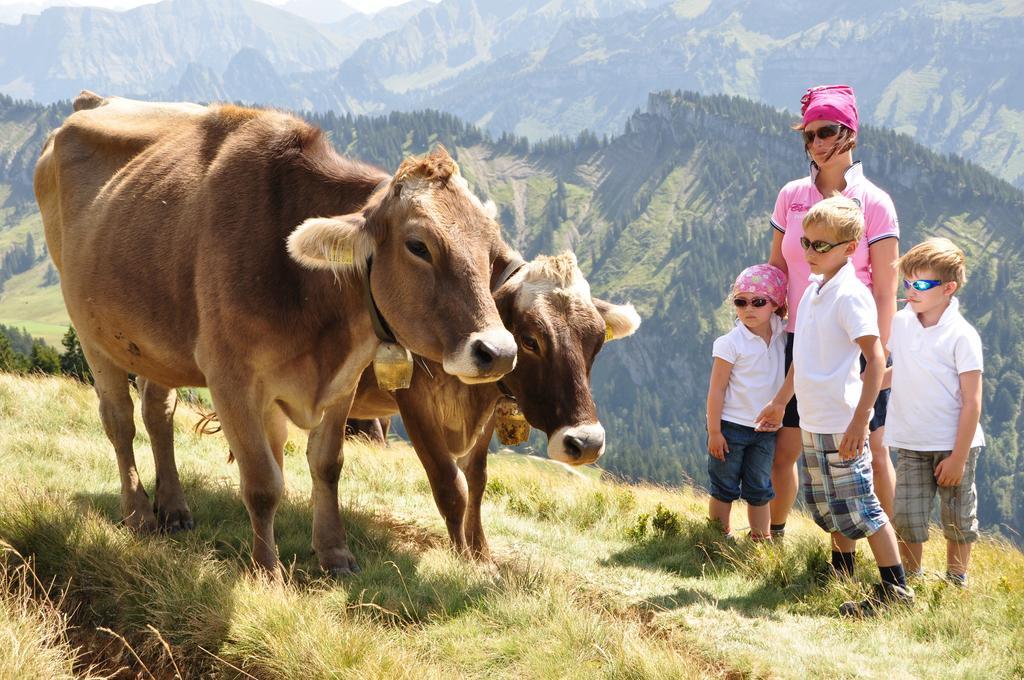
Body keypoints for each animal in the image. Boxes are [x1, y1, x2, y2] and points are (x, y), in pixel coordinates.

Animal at [34, 93, 520, 577]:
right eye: (418, 246)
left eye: (491, 250)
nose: (497, 351)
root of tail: (95, 101)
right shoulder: (231, 380)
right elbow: (264, 482)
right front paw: (266, 569)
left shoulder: (341, 384)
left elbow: (327, 465)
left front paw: (335, 553)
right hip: (93, 334)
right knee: (119, 421)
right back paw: (138, 513)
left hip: (155, 343)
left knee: (159, 412)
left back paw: (173, 508)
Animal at [346, 251, 638, 561]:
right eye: (530, 341)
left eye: (597, 343)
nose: (587, 443)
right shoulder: (416, 401)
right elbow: (450, 485)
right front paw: (460, 556)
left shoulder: (487, 412)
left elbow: (477, 480)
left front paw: (481, 552)